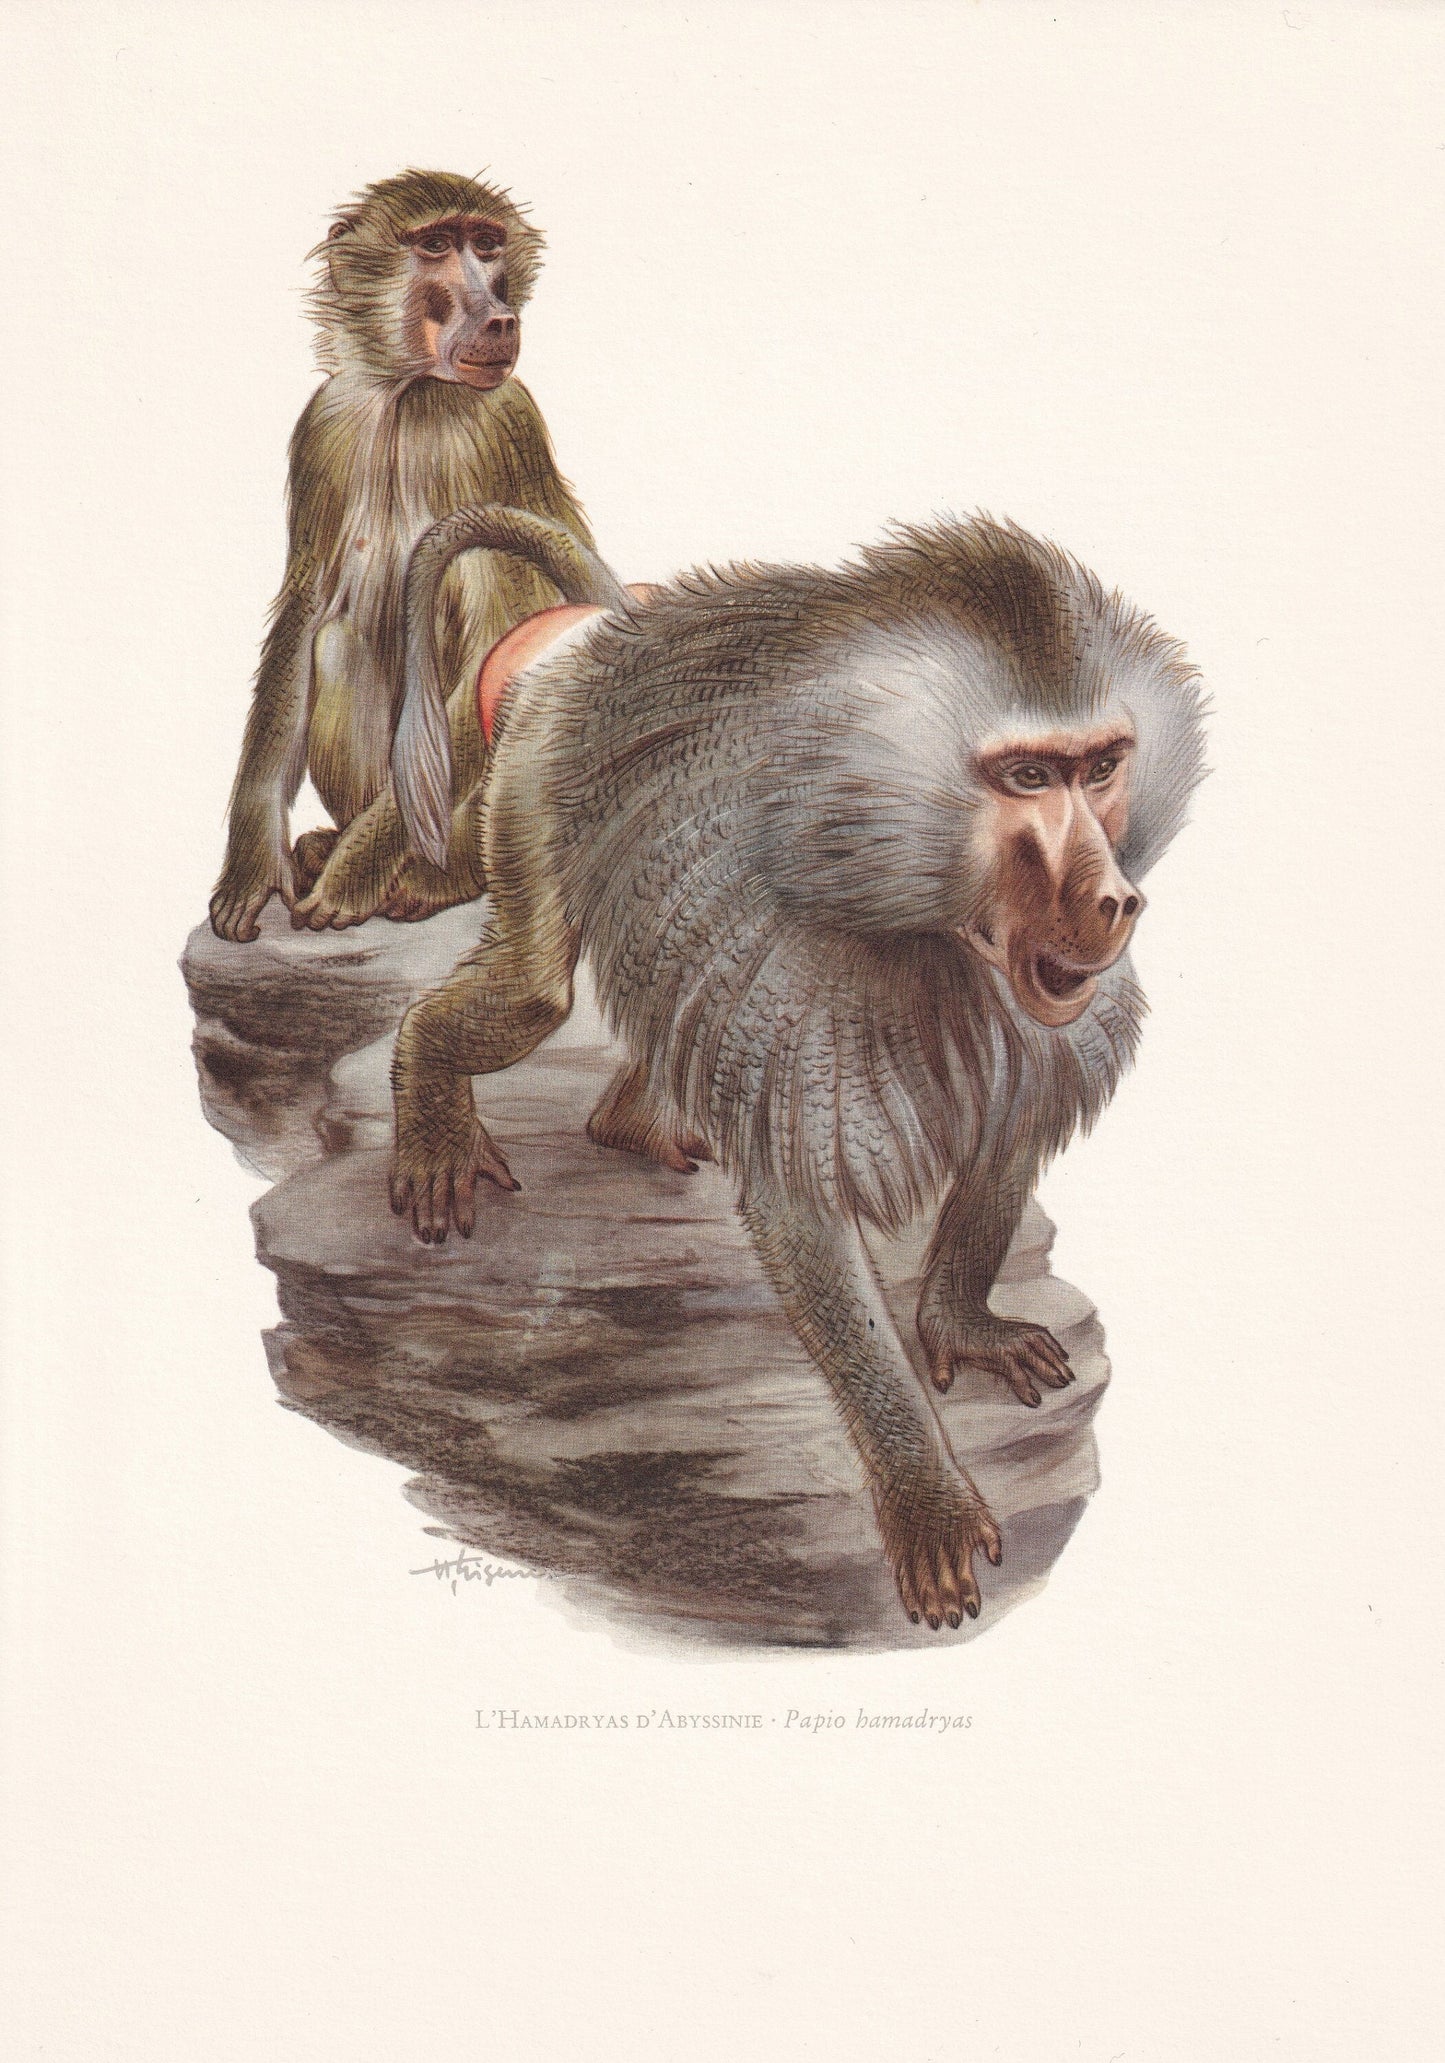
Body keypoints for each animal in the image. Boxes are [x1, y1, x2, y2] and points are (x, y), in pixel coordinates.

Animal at [208, 169, 596, 944]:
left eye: (486, 244)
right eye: (437, 245)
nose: (499, 317)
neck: (411, 392)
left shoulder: (504, 421)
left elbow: (505, 635)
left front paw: (353, 877)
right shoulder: (323, 426)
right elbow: (305, 608)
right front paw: (253, 865)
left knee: (477, 567)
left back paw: (435, 875)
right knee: (335, 640)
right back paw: (327, 842)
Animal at [383, 505, 1207, 1629]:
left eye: (1102, 766)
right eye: (1028, 777)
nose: (1114, 899)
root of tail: (600, 637)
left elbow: (1012, 1120)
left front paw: (960, 1324)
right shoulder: (801, 973)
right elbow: (802, 1207)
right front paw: (925, 1499)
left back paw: (630, 1121)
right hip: (536, 768)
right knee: (536, 990)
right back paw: (431, 1096)